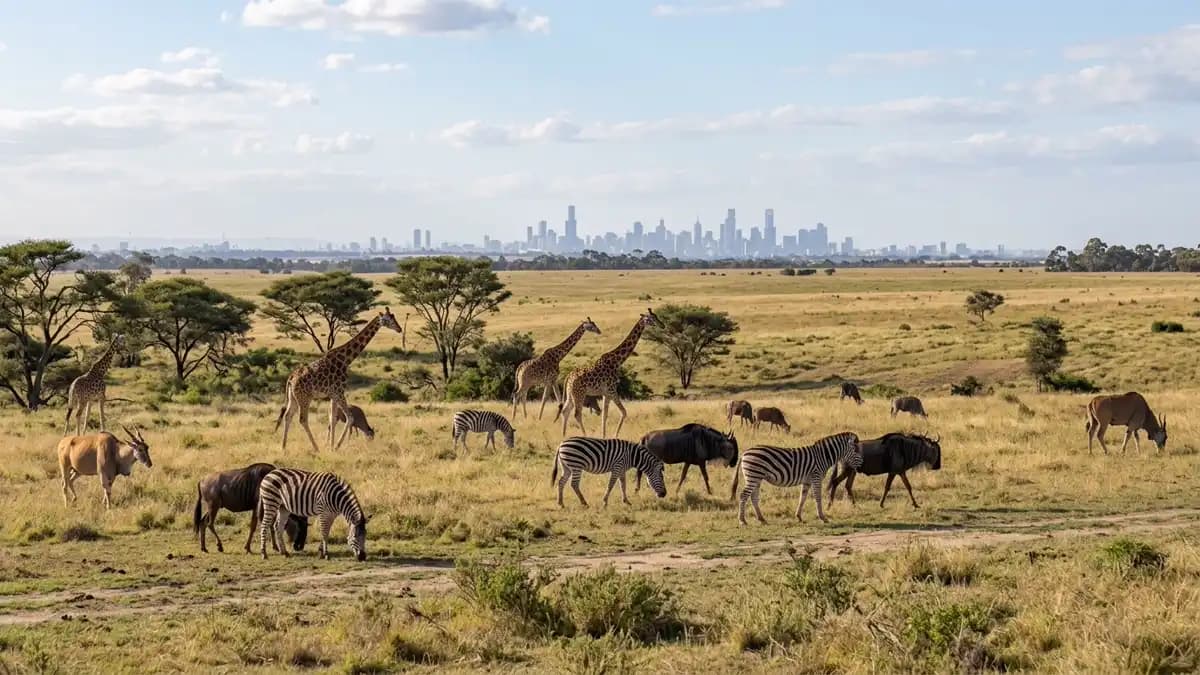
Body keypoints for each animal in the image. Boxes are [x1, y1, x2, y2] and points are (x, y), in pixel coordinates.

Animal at [274, 308, 401, 452]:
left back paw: (283, 447)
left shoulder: (333, 394)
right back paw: (316, 448)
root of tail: (291, 378)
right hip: (305, 398)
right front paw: (336, 446)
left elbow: (333, 419)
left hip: (293, 398)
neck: (346, 360)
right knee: (302, 419)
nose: (399, 329)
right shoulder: (339, 391)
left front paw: (331, 446)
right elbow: (349, 417)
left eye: (394, 317)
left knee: (287, 416)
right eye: (388, 319)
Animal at [560, 308, 662, 439]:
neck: (617, 360)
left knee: (565, 411)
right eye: (651, 318)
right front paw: (614, 435)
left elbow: (605, 415)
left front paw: (604, 436)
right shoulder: (612, 390)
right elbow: (623, 412)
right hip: (579, 394)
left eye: (657, 316)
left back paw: (564, 435)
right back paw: (584, 435)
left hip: (570, 394)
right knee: (577, 414)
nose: (662, 325)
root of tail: (568, 377)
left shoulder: (606, 393)